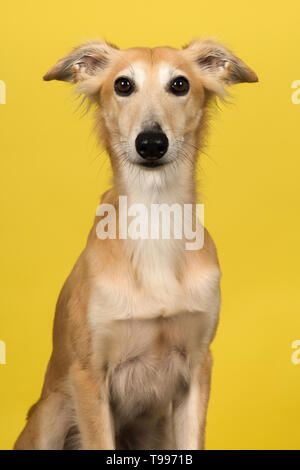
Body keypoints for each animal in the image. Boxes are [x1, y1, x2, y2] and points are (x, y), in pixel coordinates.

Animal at [14, 36, 258, 448]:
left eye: (180, 84)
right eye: (123, 85)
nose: (151, 143)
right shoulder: (89, 374)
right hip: (52, 413)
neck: (155, 218)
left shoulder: (198, 367)